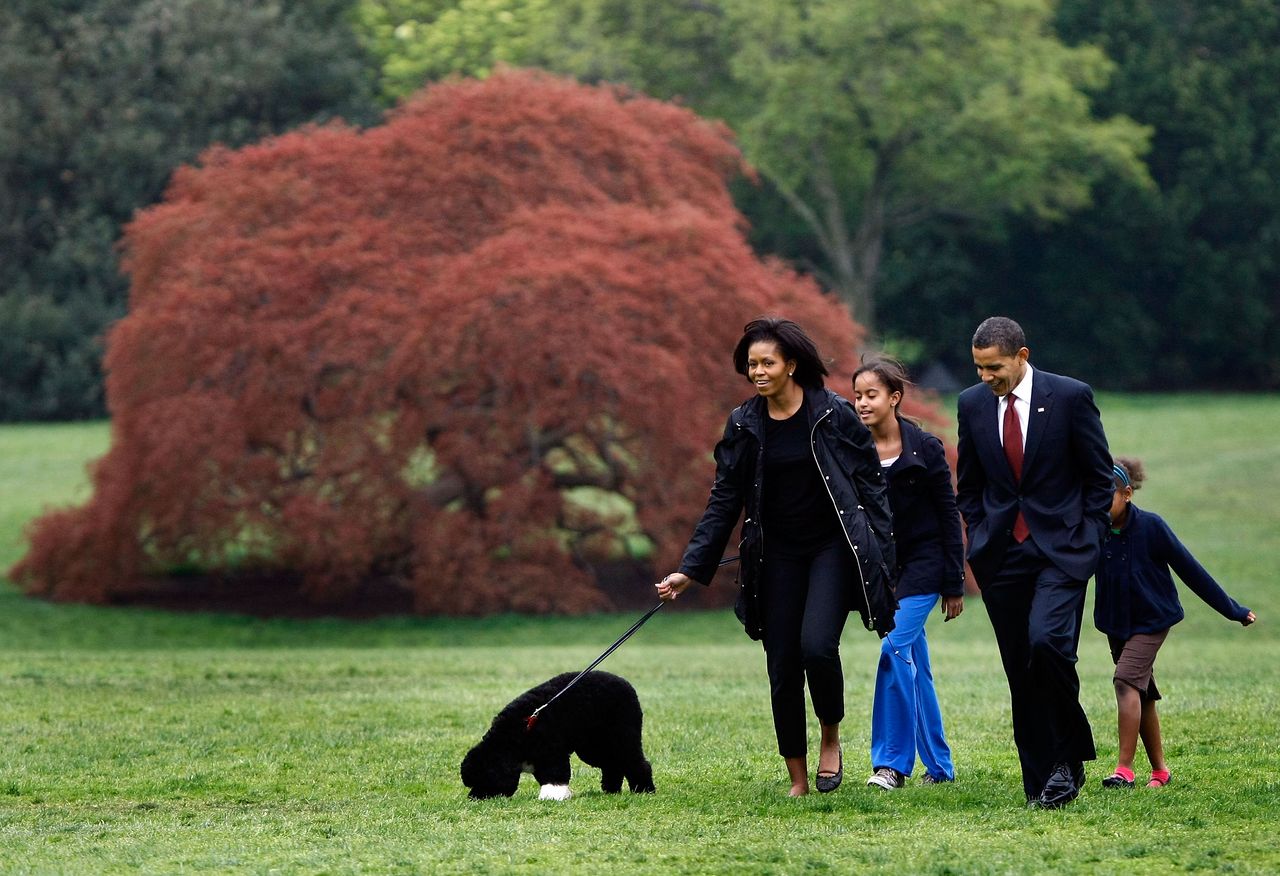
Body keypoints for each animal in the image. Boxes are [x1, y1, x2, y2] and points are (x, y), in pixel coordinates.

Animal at [460, 671, 655, 799]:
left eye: (483, 780)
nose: (472, 797)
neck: (516, 734)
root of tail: (626, 684)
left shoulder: (551, 752)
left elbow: (555, 775)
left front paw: (554, 796)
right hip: (593, 746)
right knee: (612, 763)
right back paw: (611, 790)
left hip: (621, 735)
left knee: (634, 761)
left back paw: (644, 790)